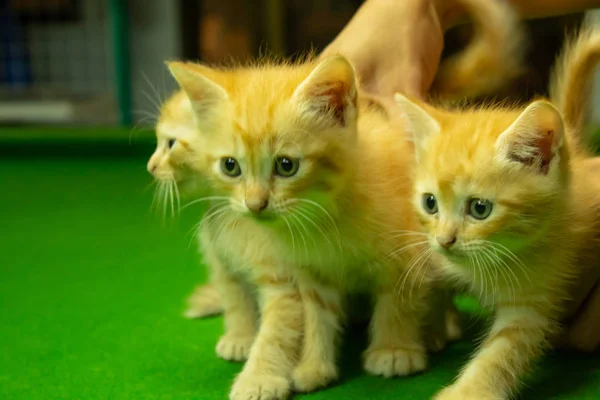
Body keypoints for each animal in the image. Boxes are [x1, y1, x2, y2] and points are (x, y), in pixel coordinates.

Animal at [394, 20, 600, 398]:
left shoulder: (536, 295)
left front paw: (467, 391)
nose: (445, 240)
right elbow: (434, 280)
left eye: (480, 208)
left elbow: (503, 350)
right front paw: (431, 328)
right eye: (430, 203)